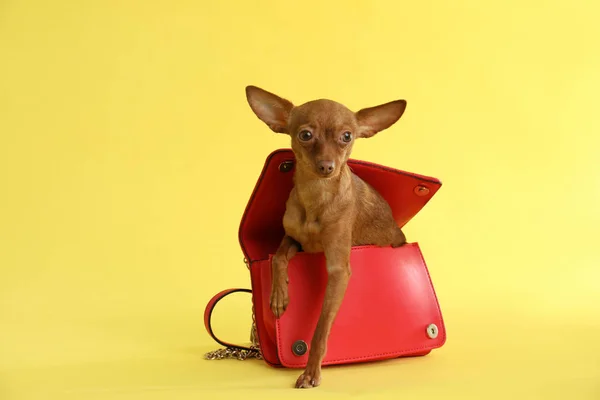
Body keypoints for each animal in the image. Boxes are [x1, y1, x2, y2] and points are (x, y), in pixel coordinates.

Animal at [244, 85, 408, 388]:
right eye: (306, 135)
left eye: (347, 137)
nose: (326, 166)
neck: (315, 197)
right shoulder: (292, 239)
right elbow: (278, 257)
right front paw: (278, 295)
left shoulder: (338, 270)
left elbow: (321, 327)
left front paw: (311, 372)